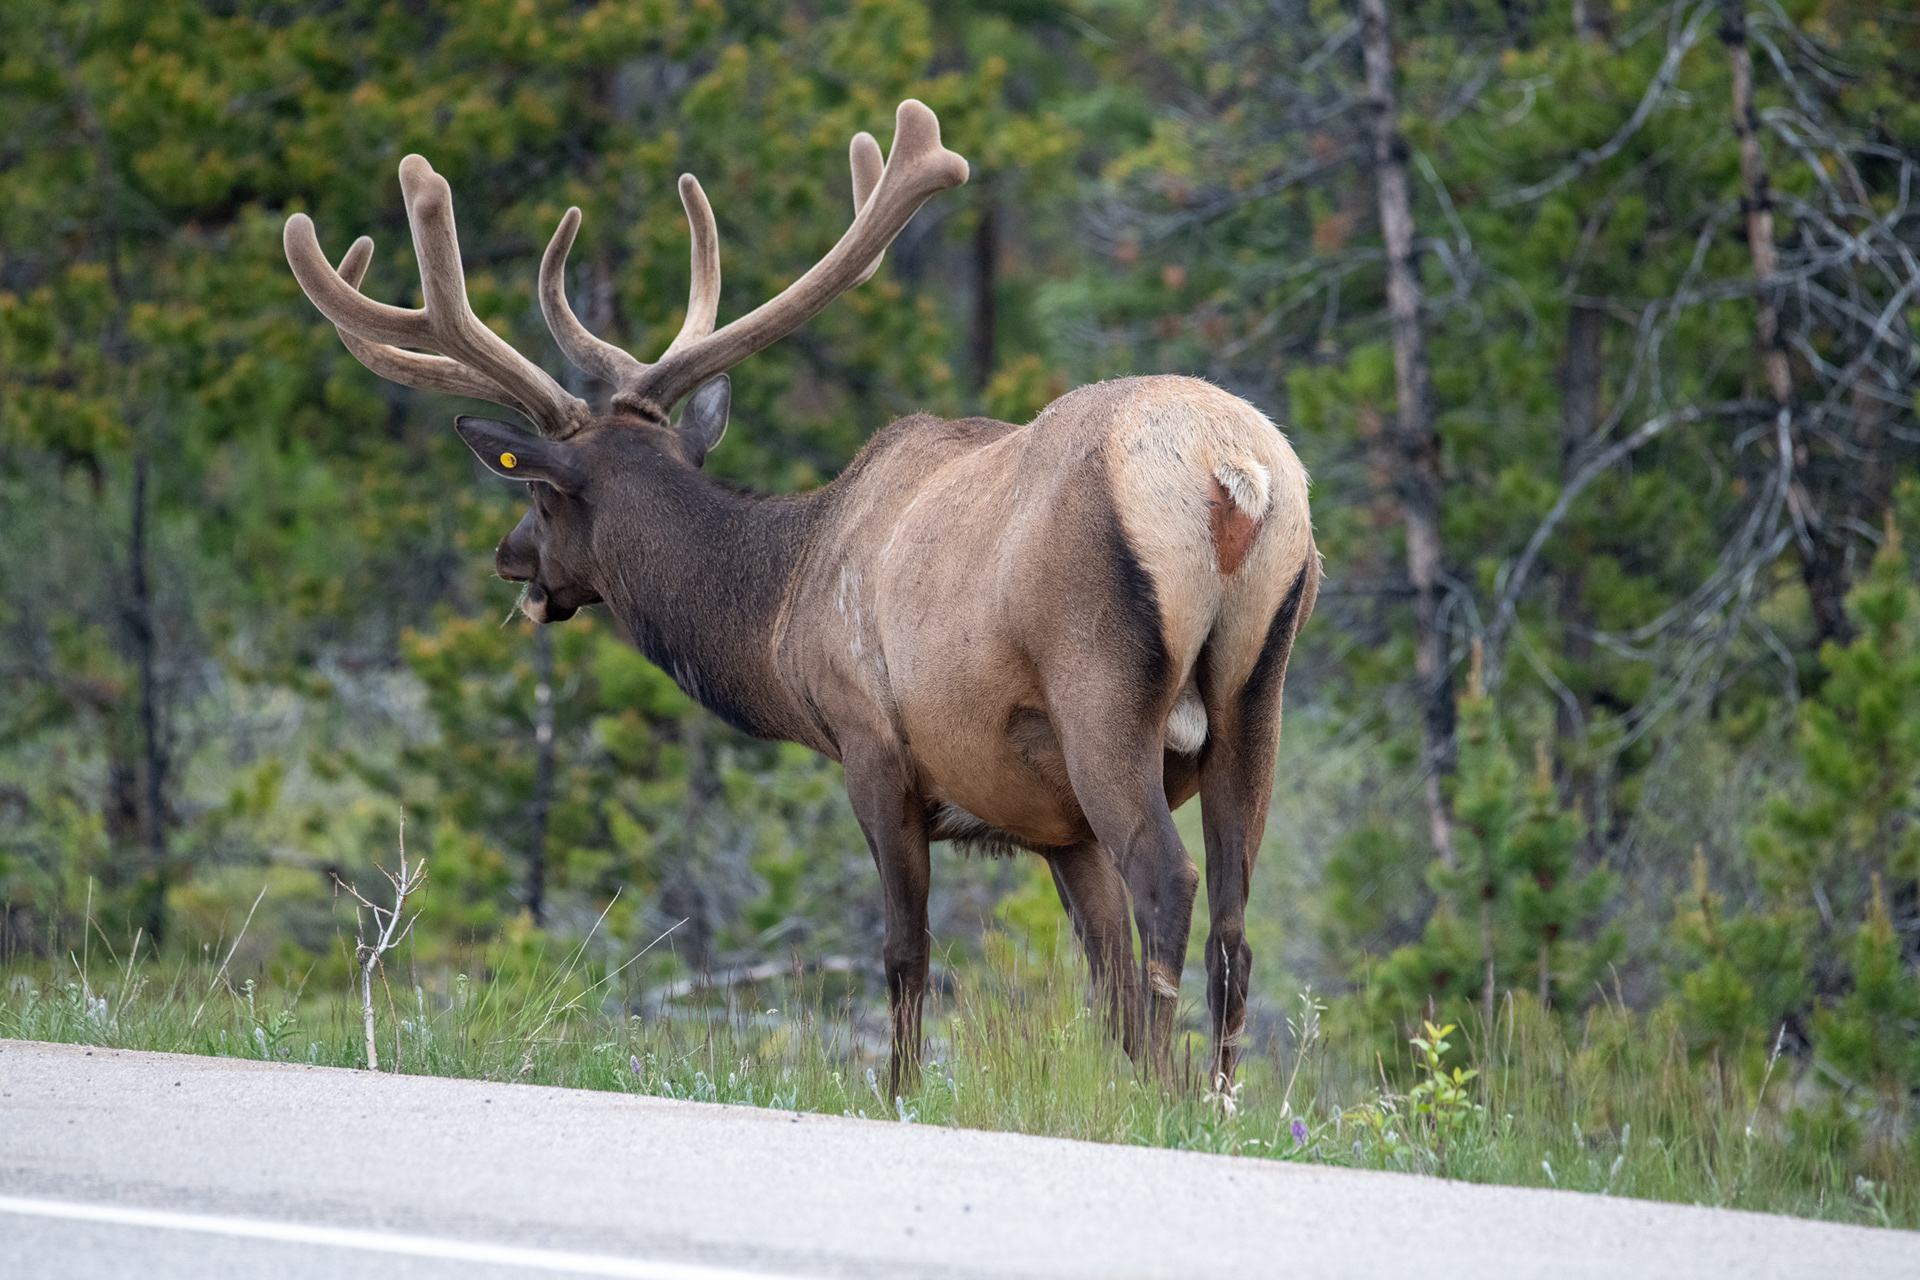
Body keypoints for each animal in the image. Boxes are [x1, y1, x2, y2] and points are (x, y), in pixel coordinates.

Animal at [283, 100, 1317, 1095]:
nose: (509, 557)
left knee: (1171, 885)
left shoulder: (872, 744)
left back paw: (1174, 1098)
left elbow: (907, 953)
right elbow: (1102, 979)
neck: (784, 608)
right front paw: (1116, 1085)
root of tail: (1236, 473)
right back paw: (1216, 1099)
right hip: (1256, 694)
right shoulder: (1051, 822)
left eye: (539, 495)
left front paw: (901, 1091)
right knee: (1235, 921)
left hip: (1101, 687)